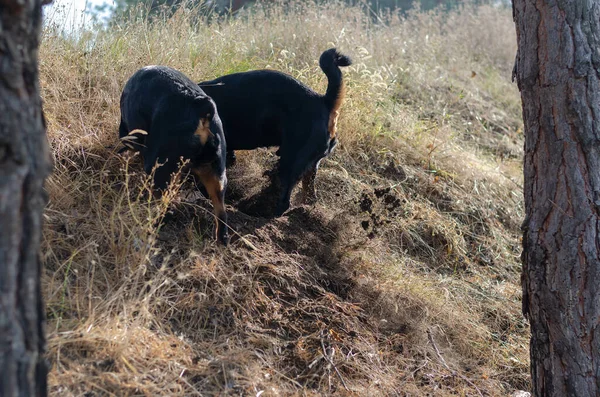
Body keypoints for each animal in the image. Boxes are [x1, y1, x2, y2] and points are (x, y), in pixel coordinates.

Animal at [119, 65, 230, 244]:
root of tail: (200, 106)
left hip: (159, 170)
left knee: (166, 206)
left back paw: (153, 225)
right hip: (216, 174)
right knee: (221, 212)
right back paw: (221, 239)